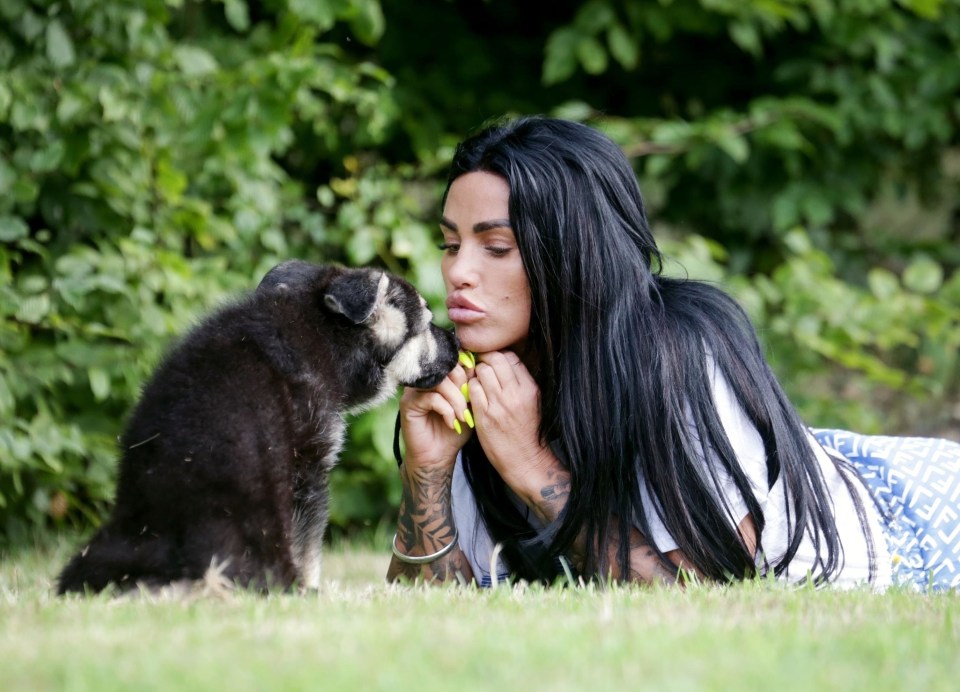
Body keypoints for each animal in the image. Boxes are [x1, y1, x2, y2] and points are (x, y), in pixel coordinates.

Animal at [57, 260, 462, 596]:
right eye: (426, 325)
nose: (457, 338)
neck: (328, 338)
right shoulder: (308, 469)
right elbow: (307, 546)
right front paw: (312, 589)